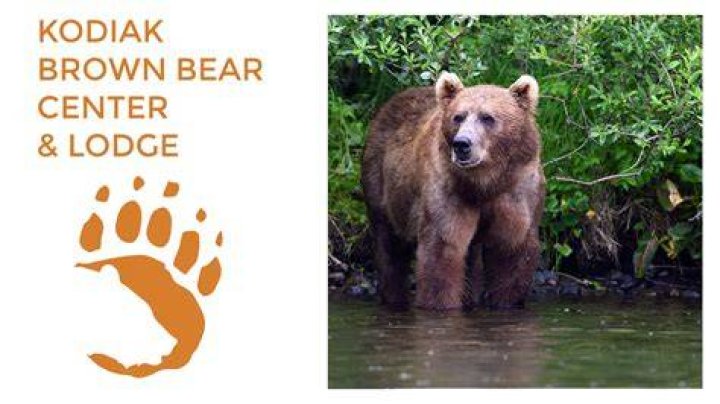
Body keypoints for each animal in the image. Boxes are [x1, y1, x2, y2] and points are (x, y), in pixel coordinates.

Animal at [361, 72, 545, 310]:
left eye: (487, 117)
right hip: (382, 183)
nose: (462, 144)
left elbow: (512, 251)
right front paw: (440, 303)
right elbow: (443, 248)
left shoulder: (517, 190)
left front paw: (506, 301)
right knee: (389, 246)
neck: (484, 183)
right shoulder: (448, 187)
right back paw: (394, 296)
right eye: (458, 117)